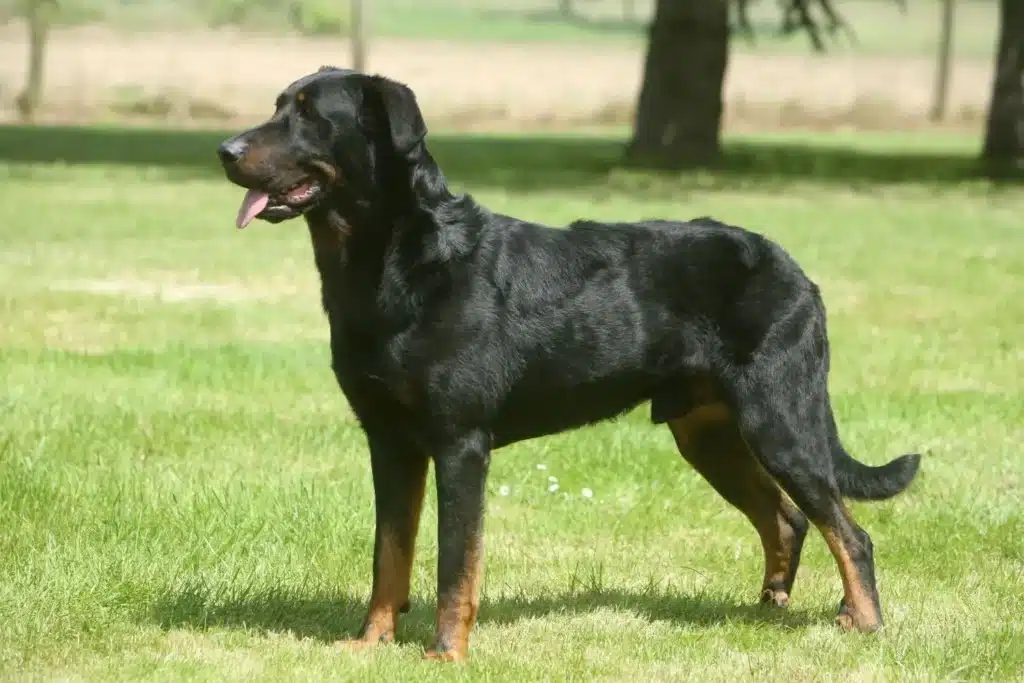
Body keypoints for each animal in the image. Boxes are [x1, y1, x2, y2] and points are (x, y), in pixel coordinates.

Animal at [216, 68, 921, 663]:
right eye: (277, 107)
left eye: (311, 116)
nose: (226, 149)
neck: (394, 260)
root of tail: (797, 273)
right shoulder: (389, 441)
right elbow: (388, 553)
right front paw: (370, 643)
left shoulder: (460, 443)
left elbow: (454, 563)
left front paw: (445, 654)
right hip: (708, 432)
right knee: (787, 519)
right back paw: (770, 609)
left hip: (780, 419)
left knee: (848, 532)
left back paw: (864, 624)